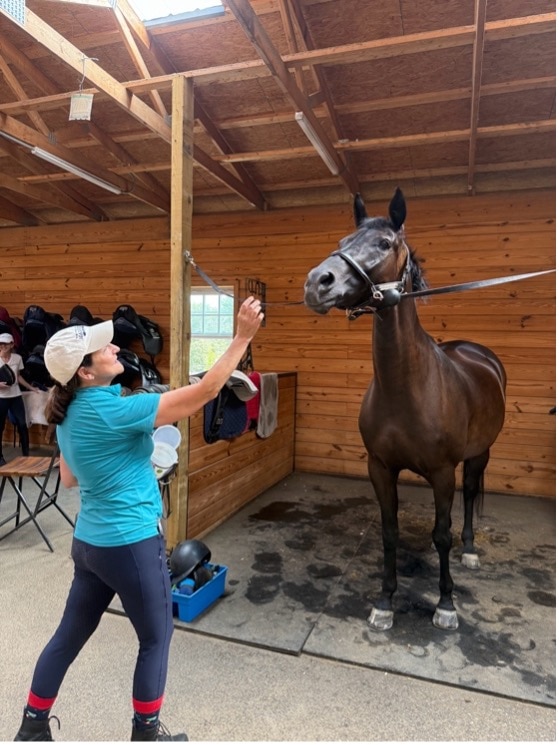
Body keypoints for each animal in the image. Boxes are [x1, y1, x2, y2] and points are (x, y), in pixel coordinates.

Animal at [303, 188, 507, 631]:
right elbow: (389, 532)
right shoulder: (380, 467)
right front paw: (385, 601)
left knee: (469, 497)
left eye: (384, 243)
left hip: (479, 454)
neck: (407, 389)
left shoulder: (443, 473)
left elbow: (442, 534)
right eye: (343, 242)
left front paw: (445, 605)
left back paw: (469, 551)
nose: (317, 283)